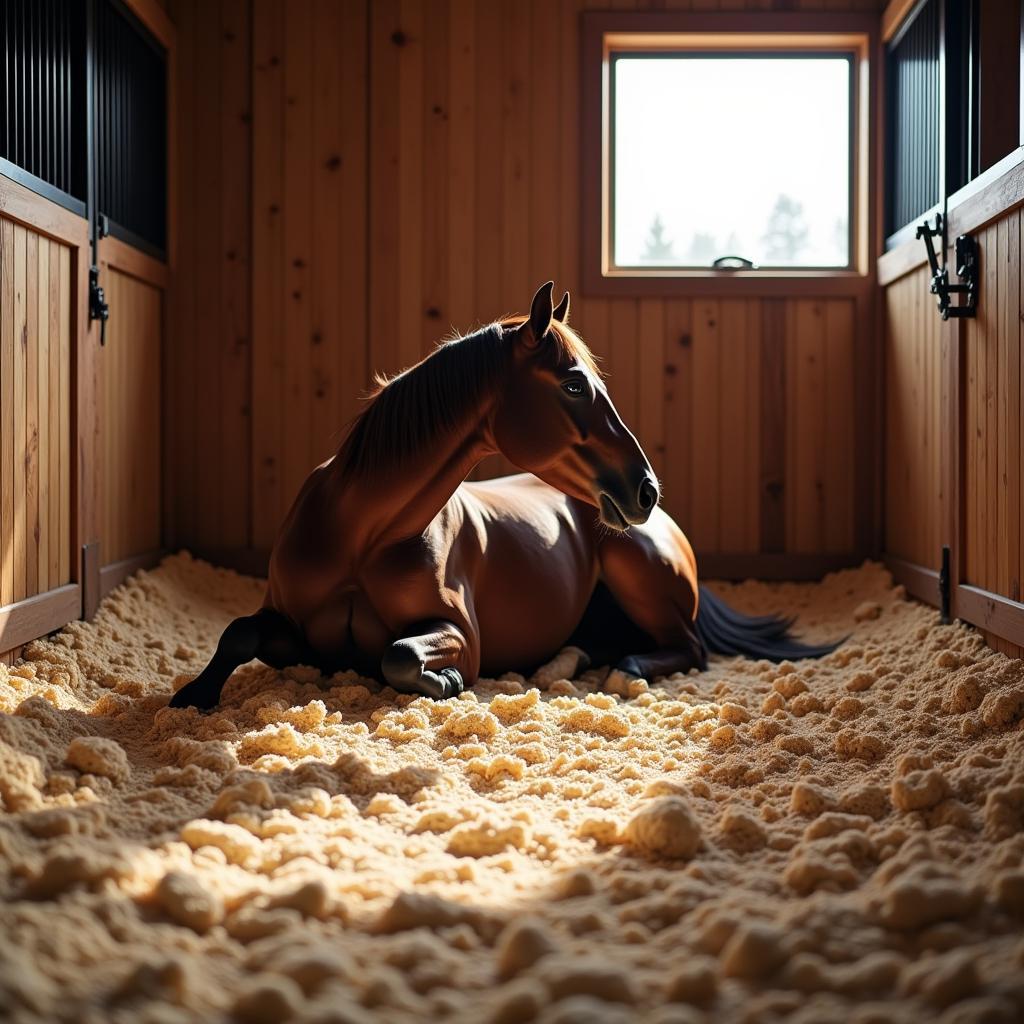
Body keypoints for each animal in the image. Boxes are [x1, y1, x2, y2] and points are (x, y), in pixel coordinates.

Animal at [169, 280, 839, 712]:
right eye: (573, 385)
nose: (645, 488)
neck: (362, 536)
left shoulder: (461, 638)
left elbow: (397, 656)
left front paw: (445, 685)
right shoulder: (293, 632)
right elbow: (238, 633)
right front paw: (193, 695)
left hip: (635, 569)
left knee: (686, 650)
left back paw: (617, 672)